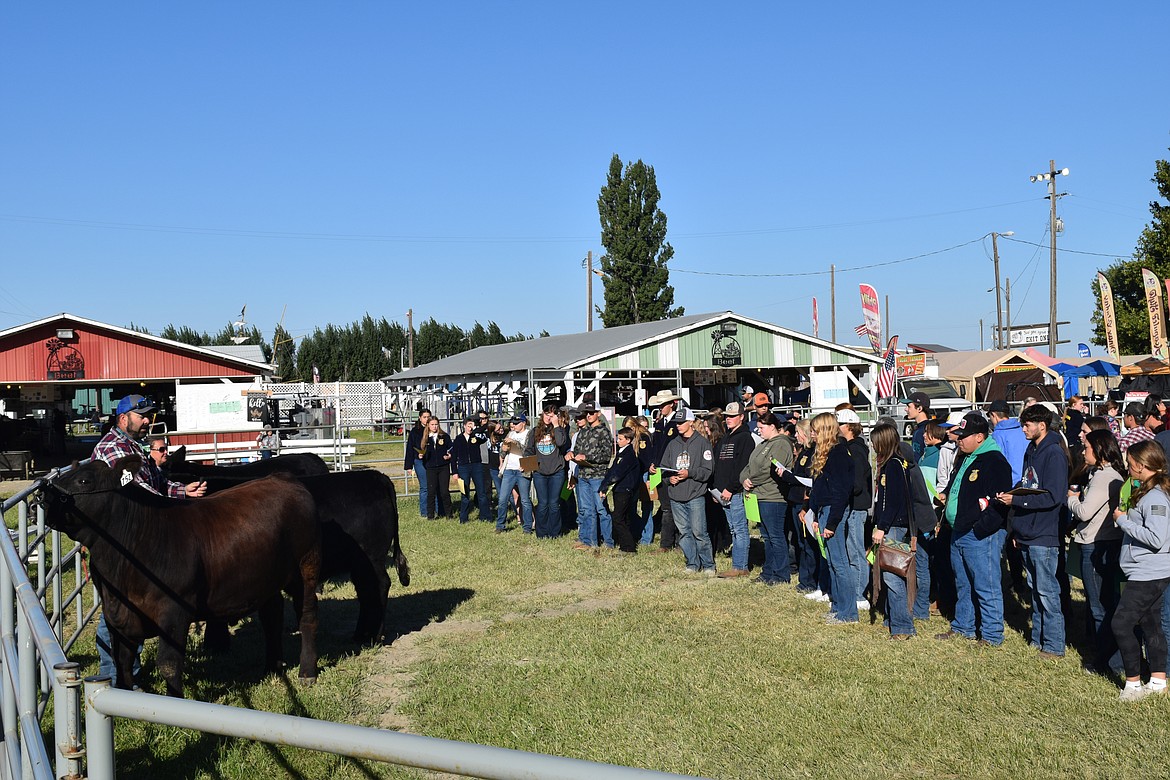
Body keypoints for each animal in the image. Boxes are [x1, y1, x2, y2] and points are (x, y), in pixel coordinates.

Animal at [43, 458, 320, 696]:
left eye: (84, 481)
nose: (43, 494)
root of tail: (283, 478)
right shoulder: (117, 616)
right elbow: (122, 660)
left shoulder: (173, 613)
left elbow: (168, 663)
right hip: (266, 578)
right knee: (272, 614)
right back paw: (273, 666)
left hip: (306, 567)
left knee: (306, 615)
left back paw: (307, 672)